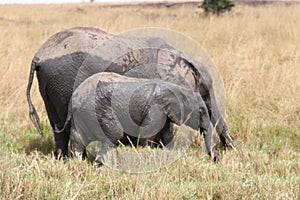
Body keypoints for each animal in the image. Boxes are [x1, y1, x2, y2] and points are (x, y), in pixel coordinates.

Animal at [62, 72, 218, 164]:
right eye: (200, 111)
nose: (216, 160)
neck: (179, 89)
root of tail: (74, 98)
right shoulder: (156, 109)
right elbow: (147, 135)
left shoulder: (164, 113)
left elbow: (167, 136)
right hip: (97, 108)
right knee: (114, 134)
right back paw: (99, 164)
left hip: (81, 114)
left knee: (78, 139)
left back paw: (78, 163)